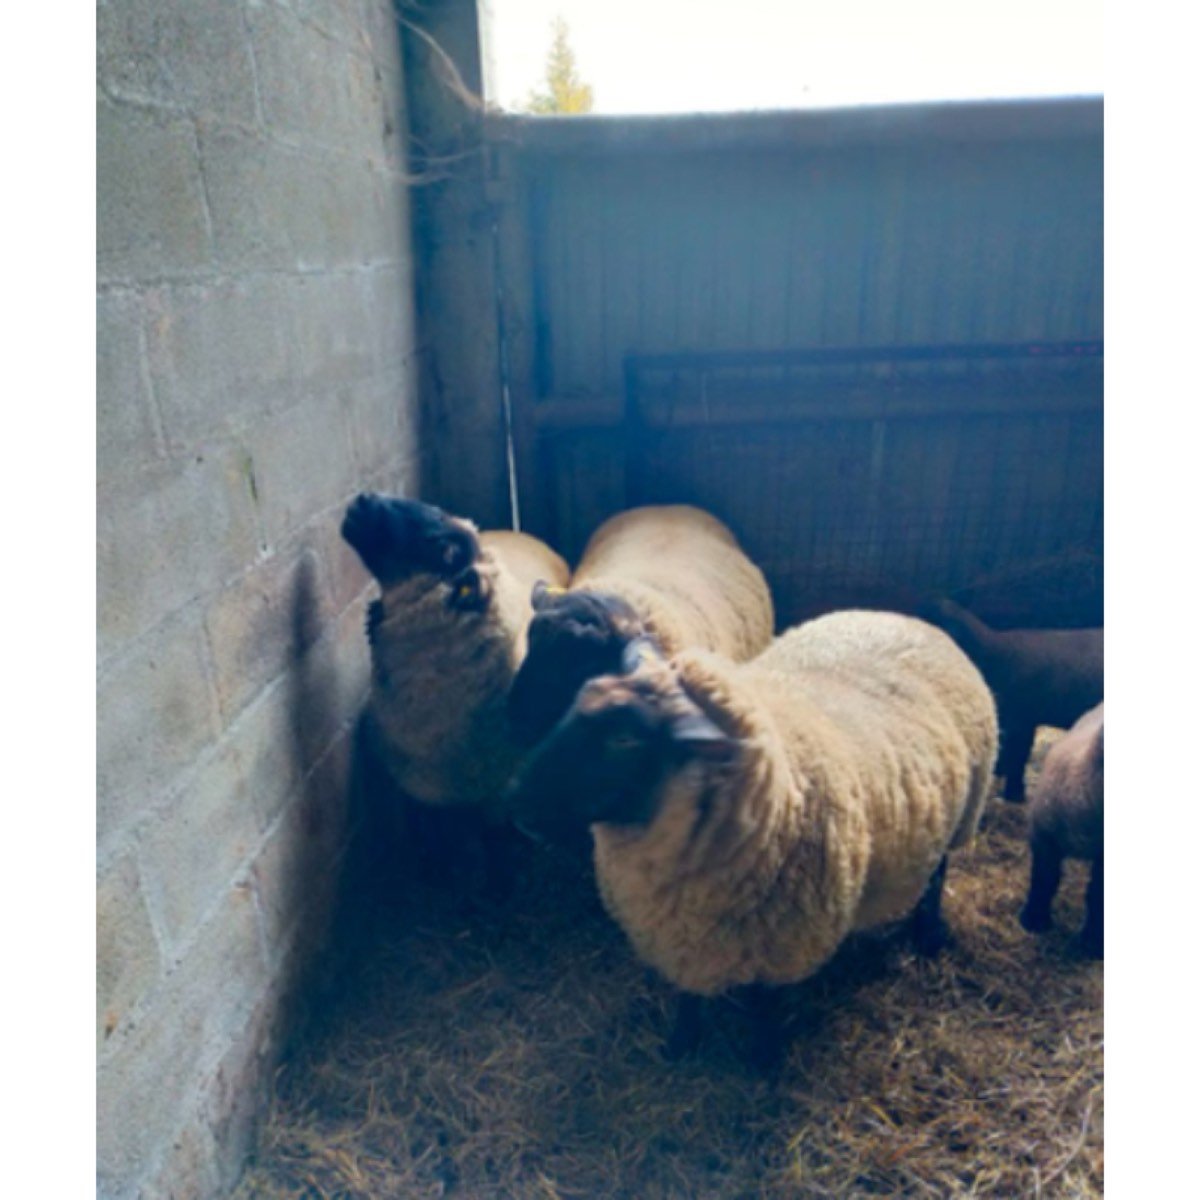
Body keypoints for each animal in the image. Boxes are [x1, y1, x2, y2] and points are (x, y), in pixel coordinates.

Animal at [341, 493, 569, 887]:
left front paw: (498, 884)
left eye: (437, 543)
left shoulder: (497, 793)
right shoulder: (419, 792)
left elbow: (497, 848)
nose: (363, 499)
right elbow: (433, 839)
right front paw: (440, 873)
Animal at [510, 610, 999, 1067]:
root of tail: (907, 618)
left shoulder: (783, 945)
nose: (516, 800)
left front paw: (764, 1062)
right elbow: (689, 998)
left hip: (963, 814)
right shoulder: (681, 938)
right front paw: (681, 1045)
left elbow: (766, 1009)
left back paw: (928, 933)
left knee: (938, 873)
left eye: (624, 739)